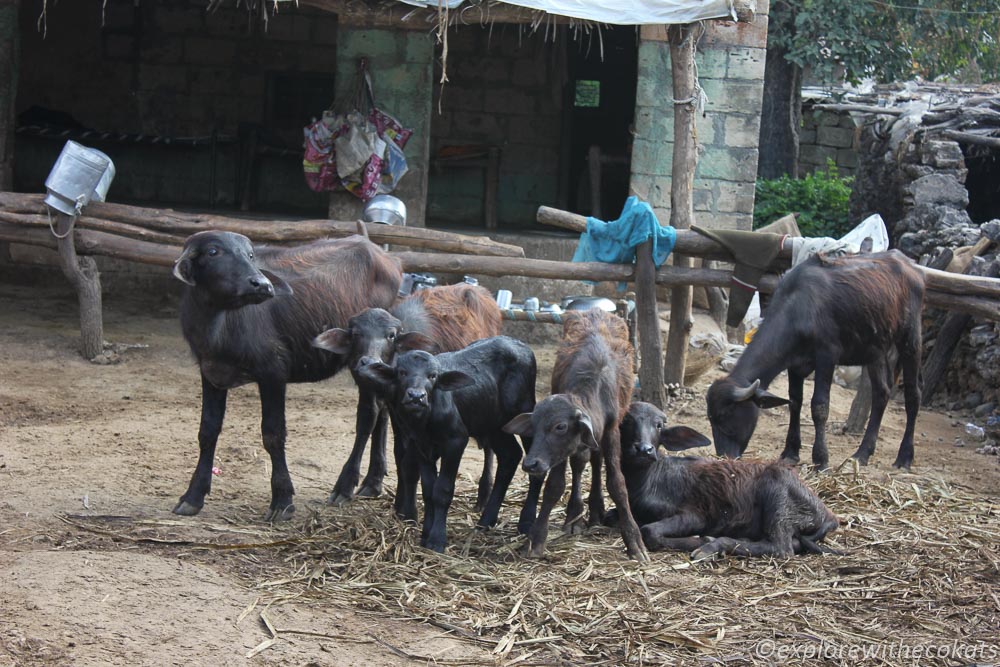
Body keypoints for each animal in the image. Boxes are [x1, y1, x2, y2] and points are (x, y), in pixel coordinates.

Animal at [612, 402, 840, 560]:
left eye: (658, 426)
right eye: (626, 423)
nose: (644, 449)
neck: (648, 480)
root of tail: (828, 515)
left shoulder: (696, 516)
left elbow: (649, 531)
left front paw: (700, 539)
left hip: (778, 503)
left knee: (781, 547)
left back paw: (711, 546)